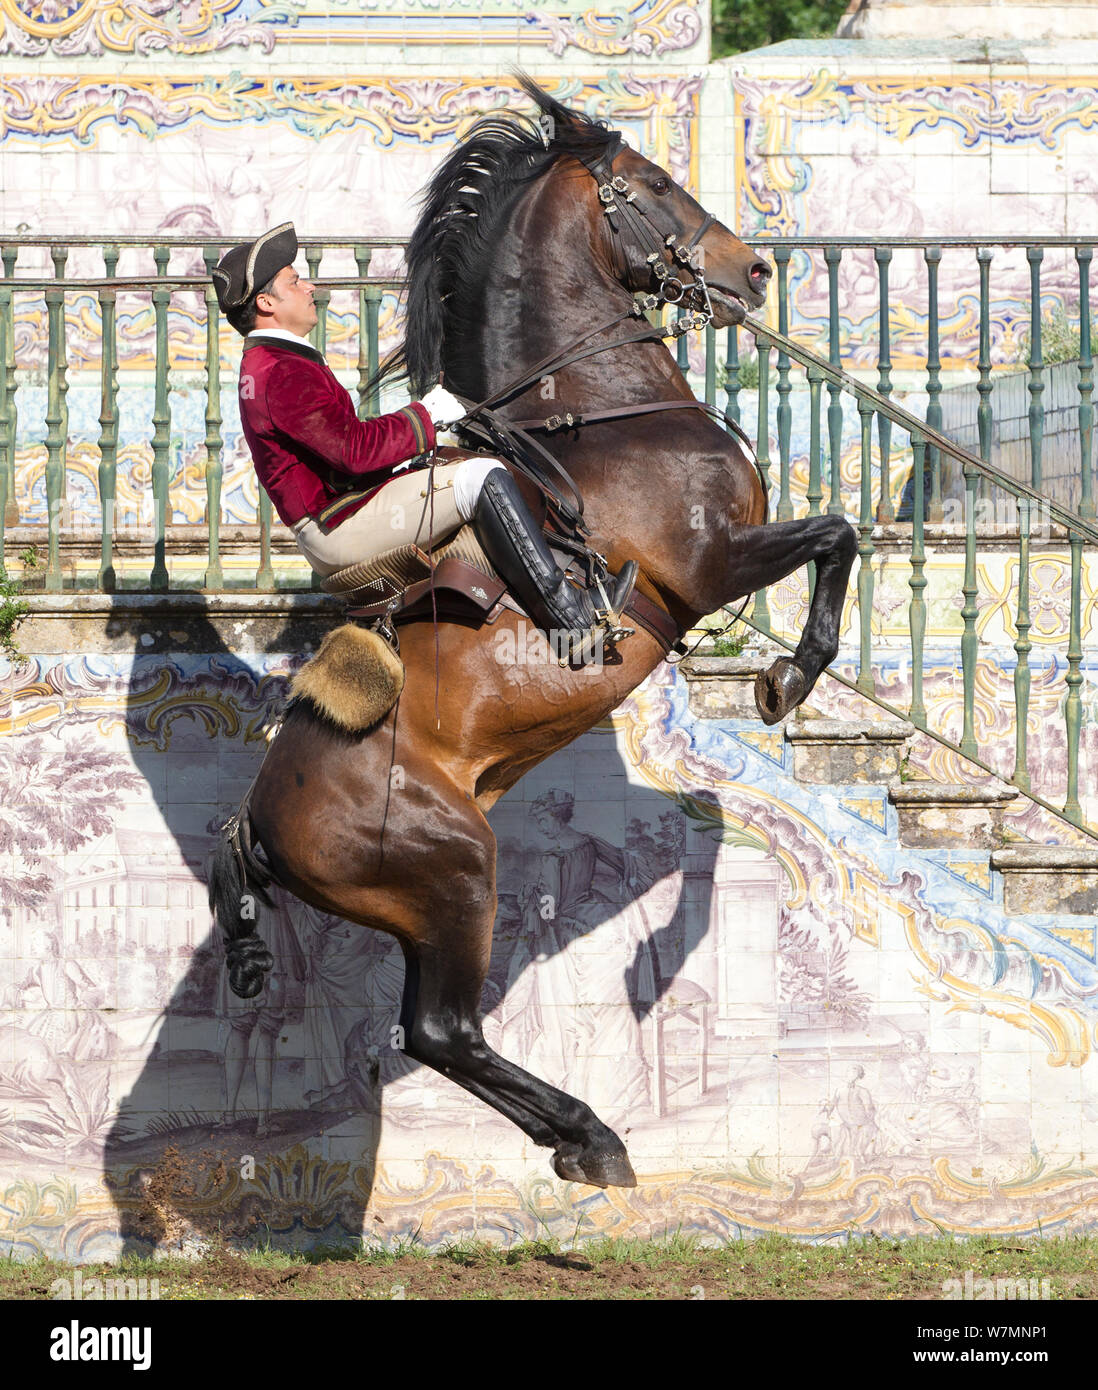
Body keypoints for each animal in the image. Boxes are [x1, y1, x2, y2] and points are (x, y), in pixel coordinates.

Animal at [209, 78, 857, 1191]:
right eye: (652, 183)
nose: (753, 272)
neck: (597, 413)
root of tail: (261, 825)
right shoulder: (714, 564)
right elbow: (838, 534)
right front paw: (790, 678)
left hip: (428, 899)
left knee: (434, 1034)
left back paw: (580, 1136)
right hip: (457, 870)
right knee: (441, 1031)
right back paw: (593, 1136)